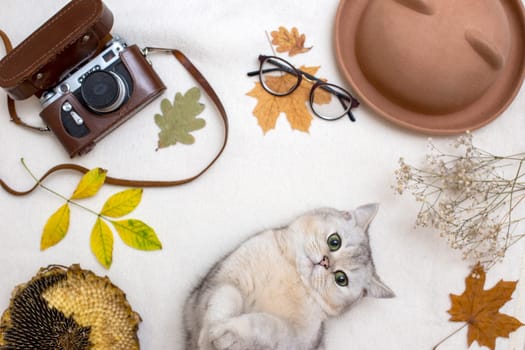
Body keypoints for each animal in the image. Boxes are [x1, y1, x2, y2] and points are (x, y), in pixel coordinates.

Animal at [184, 204, 392, 348]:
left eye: (341, 279)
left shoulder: (298, 338)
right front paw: (209, 333)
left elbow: (266, 324)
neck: (295, 276)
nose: (324, 262)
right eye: (335, 242)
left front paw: (229, 334)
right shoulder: (221, 280)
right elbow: (227, 297)